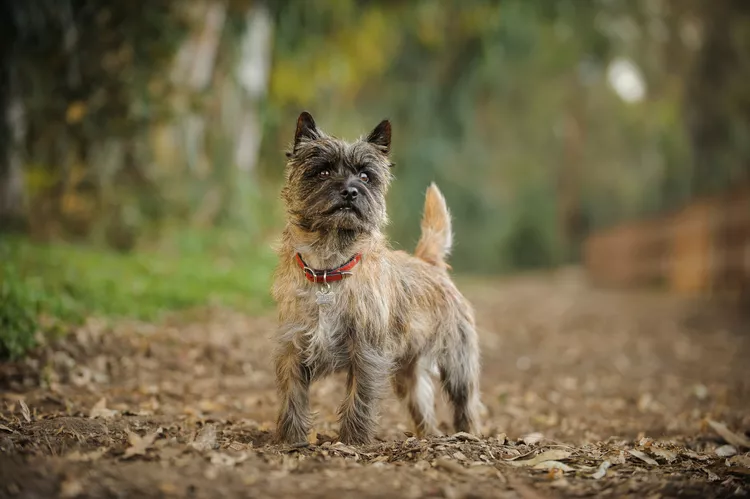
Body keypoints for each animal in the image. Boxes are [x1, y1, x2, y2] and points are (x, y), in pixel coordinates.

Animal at [274, 111, 484, 444]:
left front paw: (353, 441)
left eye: (364, 176)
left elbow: (359, 398)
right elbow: (292, 396)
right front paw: (290, 439)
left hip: (458, 363)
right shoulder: (293, 348)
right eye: (322, 171)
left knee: (466, 402)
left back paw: (469, 434)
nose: (350, 191)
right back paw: (429, 436)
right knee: (423, 407)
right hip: (409, 373)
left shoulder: (367, 353)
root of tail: (428, 262)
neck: (329, 267)